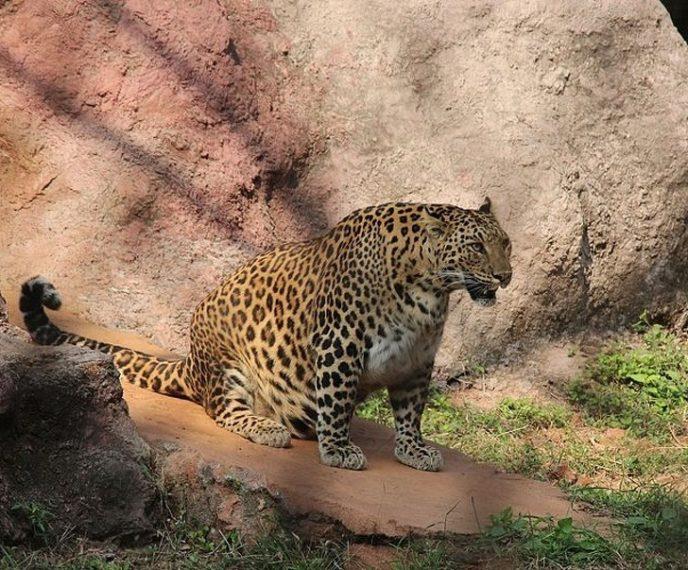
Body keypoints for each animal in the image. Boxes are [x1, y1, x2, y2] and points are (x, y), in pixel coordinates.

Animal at [20, 199, 512, 471]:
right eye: (475, 247)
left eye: (505, 243)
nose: (505, 276)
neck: (430, 289)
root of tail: (192, 360)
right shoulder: (341, 344)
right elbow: (337, 401)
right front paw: (338, 451)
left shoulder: (417, 360)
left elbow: (411, 413)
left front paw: (414, 451)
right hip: (230, 365)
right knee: (221, 410)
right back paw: (270, 428)